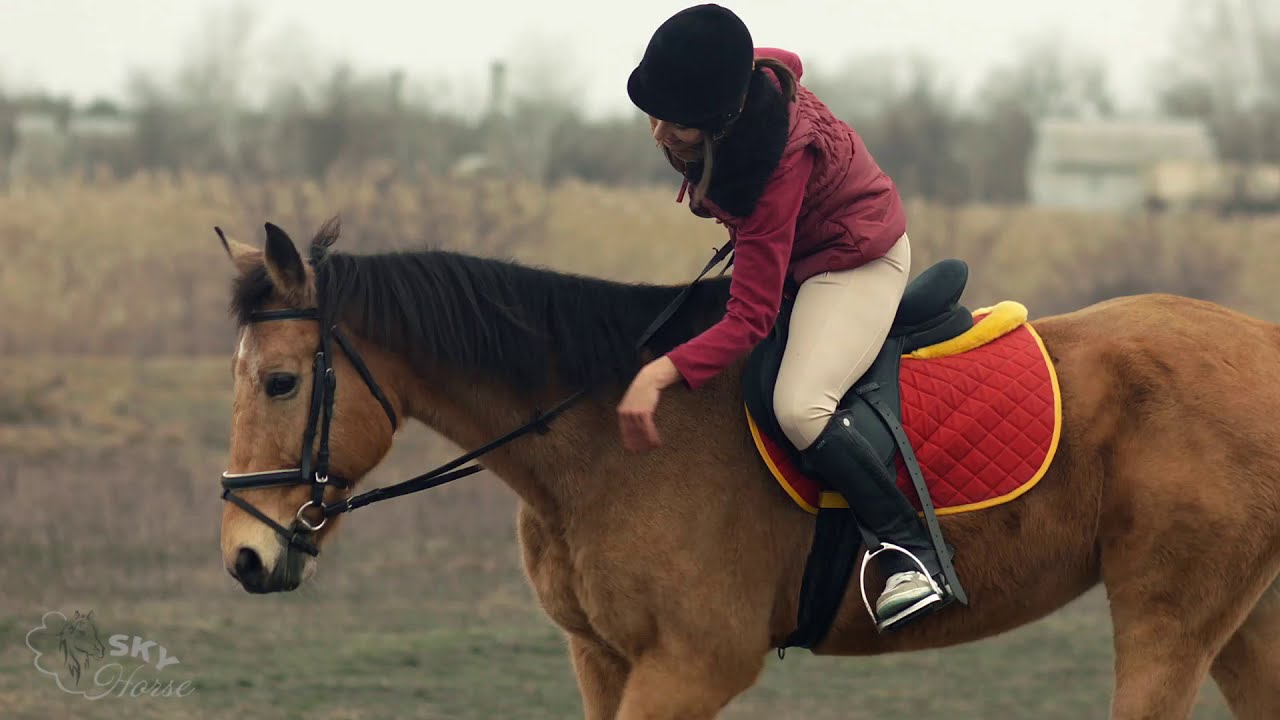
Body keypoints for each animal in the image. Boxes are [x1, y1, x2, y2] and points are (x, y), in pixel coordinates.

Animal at [216, 219, 1280, 719]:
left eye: (279, 382)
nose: (243, 558)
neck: (599, 437)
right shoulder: (604, 659)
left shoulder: (693, 664)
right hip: (1237, 621)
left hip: (1169, 616)